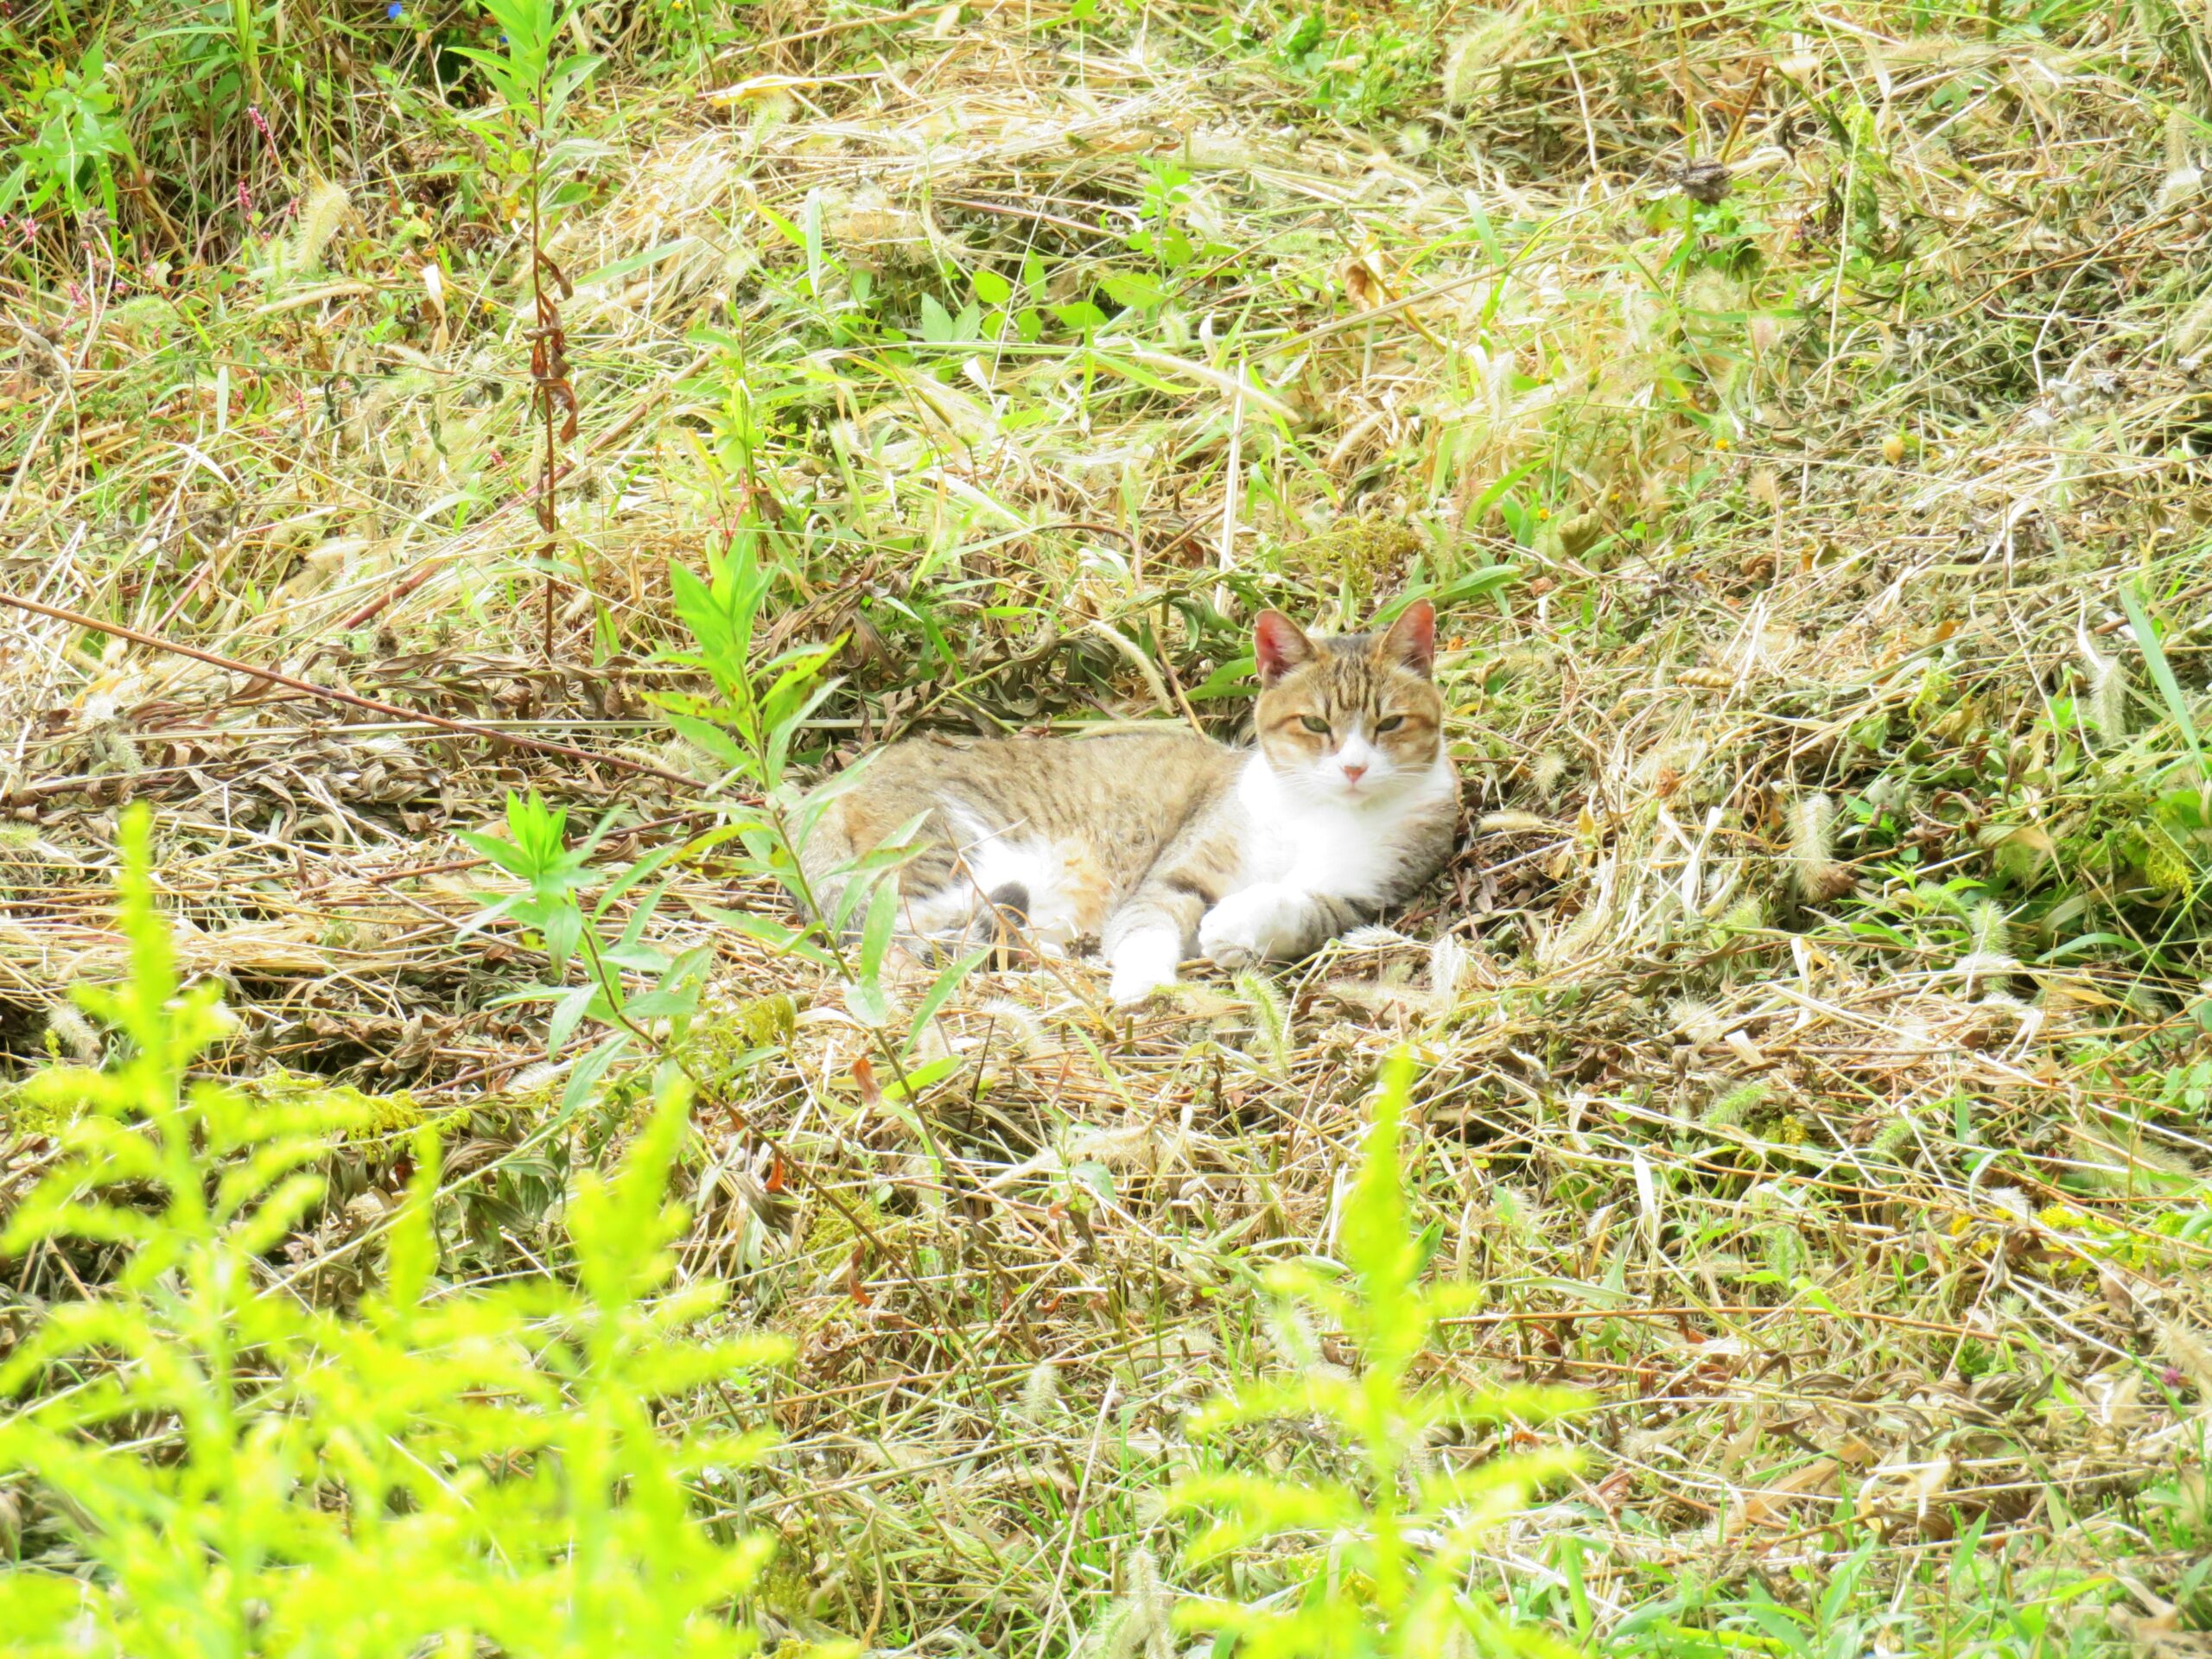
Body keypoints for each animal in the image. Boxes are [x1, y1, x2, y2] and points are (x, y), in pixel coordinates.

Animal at [804, 606, 1459, 1008]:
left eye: (1390, 724)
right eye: (1316, 724)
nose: (1354, 768)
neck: (1322, 810)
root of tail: (828, 789)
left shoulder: (1356, 896)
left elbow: (1296, 909)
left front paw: (1234, 930)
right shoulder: (1176, 872)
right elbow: (1148, 927)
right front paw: (1143, 984)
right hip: (947, 847)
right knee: (894, 939)